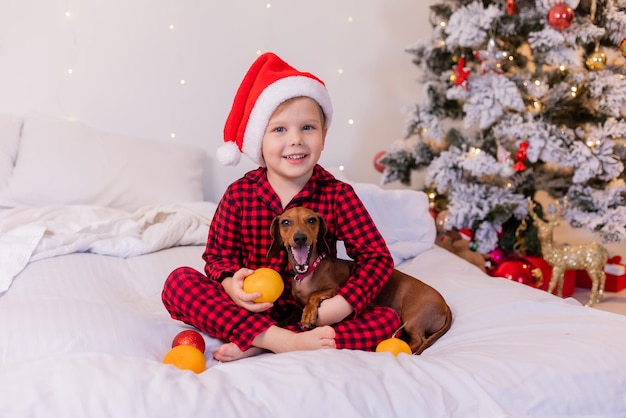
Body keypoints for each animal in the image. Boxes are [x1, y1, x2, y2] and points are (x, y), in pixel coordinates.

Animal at [266, 207, 450, 354]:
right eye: (286, 222)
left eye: (311, 220)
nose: (300, 238)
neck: (307, 273)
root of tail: (445, 305)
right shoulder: (297, 305)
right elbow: (292, 314)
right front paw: (283, 322)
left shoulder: (335, 289)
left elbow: (315, 294)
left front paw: (309, 314)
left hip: (412, 320)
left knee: (418, 339)